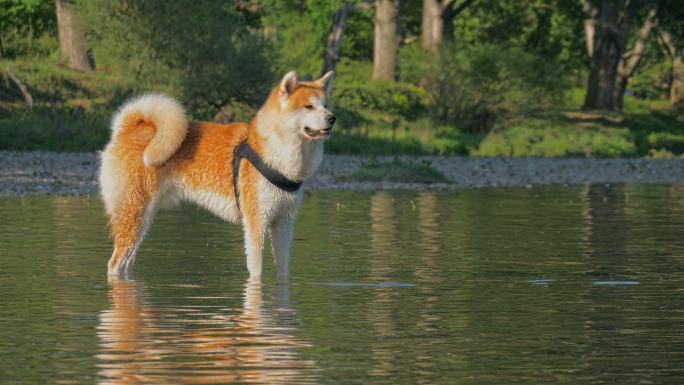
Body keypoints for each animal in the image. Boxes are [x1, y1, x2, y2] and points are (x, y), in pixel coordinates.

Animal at [100, 70, 336, 280]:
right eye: (308, 106)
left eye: (325, 106)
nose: (332, 118)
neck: (276, 152)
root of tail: (126, 130)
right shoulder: (257, 222)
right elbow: (257, 272)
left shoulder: (284, 223)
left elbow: (284, 271)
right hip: (134, 214)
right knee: (114, 263)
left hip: (142, 222)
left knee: (126, 263)